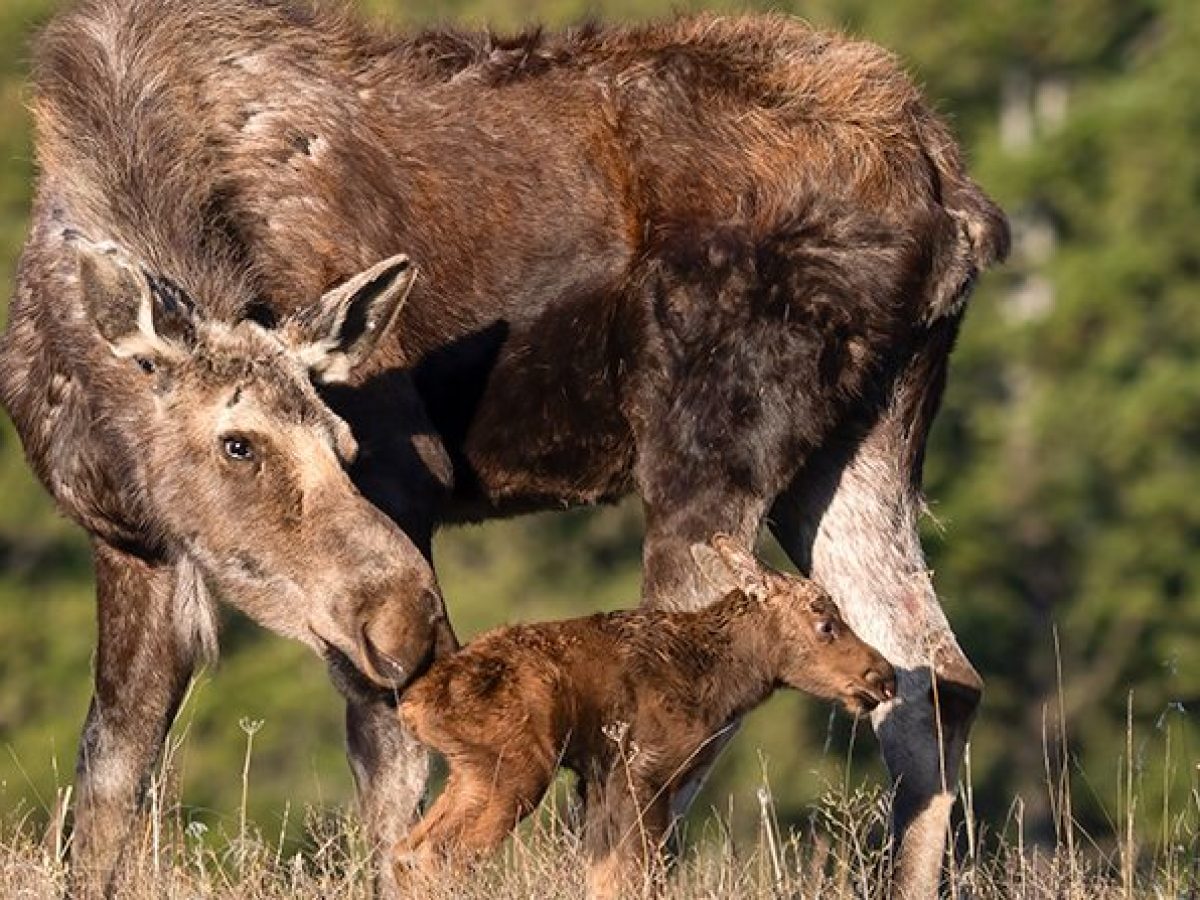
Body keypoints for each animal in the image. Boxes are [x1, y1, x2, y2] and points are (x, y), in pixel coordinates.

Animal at [0, 1, 1008, 898]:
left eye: (344, 438)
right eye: (237, 443)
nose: (411, 616)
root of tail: (956, 196)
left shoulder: (406, 487)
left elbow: (388, 783)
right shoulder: (132, 543)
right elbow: (108, 778)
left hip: (707, 450)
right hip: (857, 448)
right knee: (935, 678)